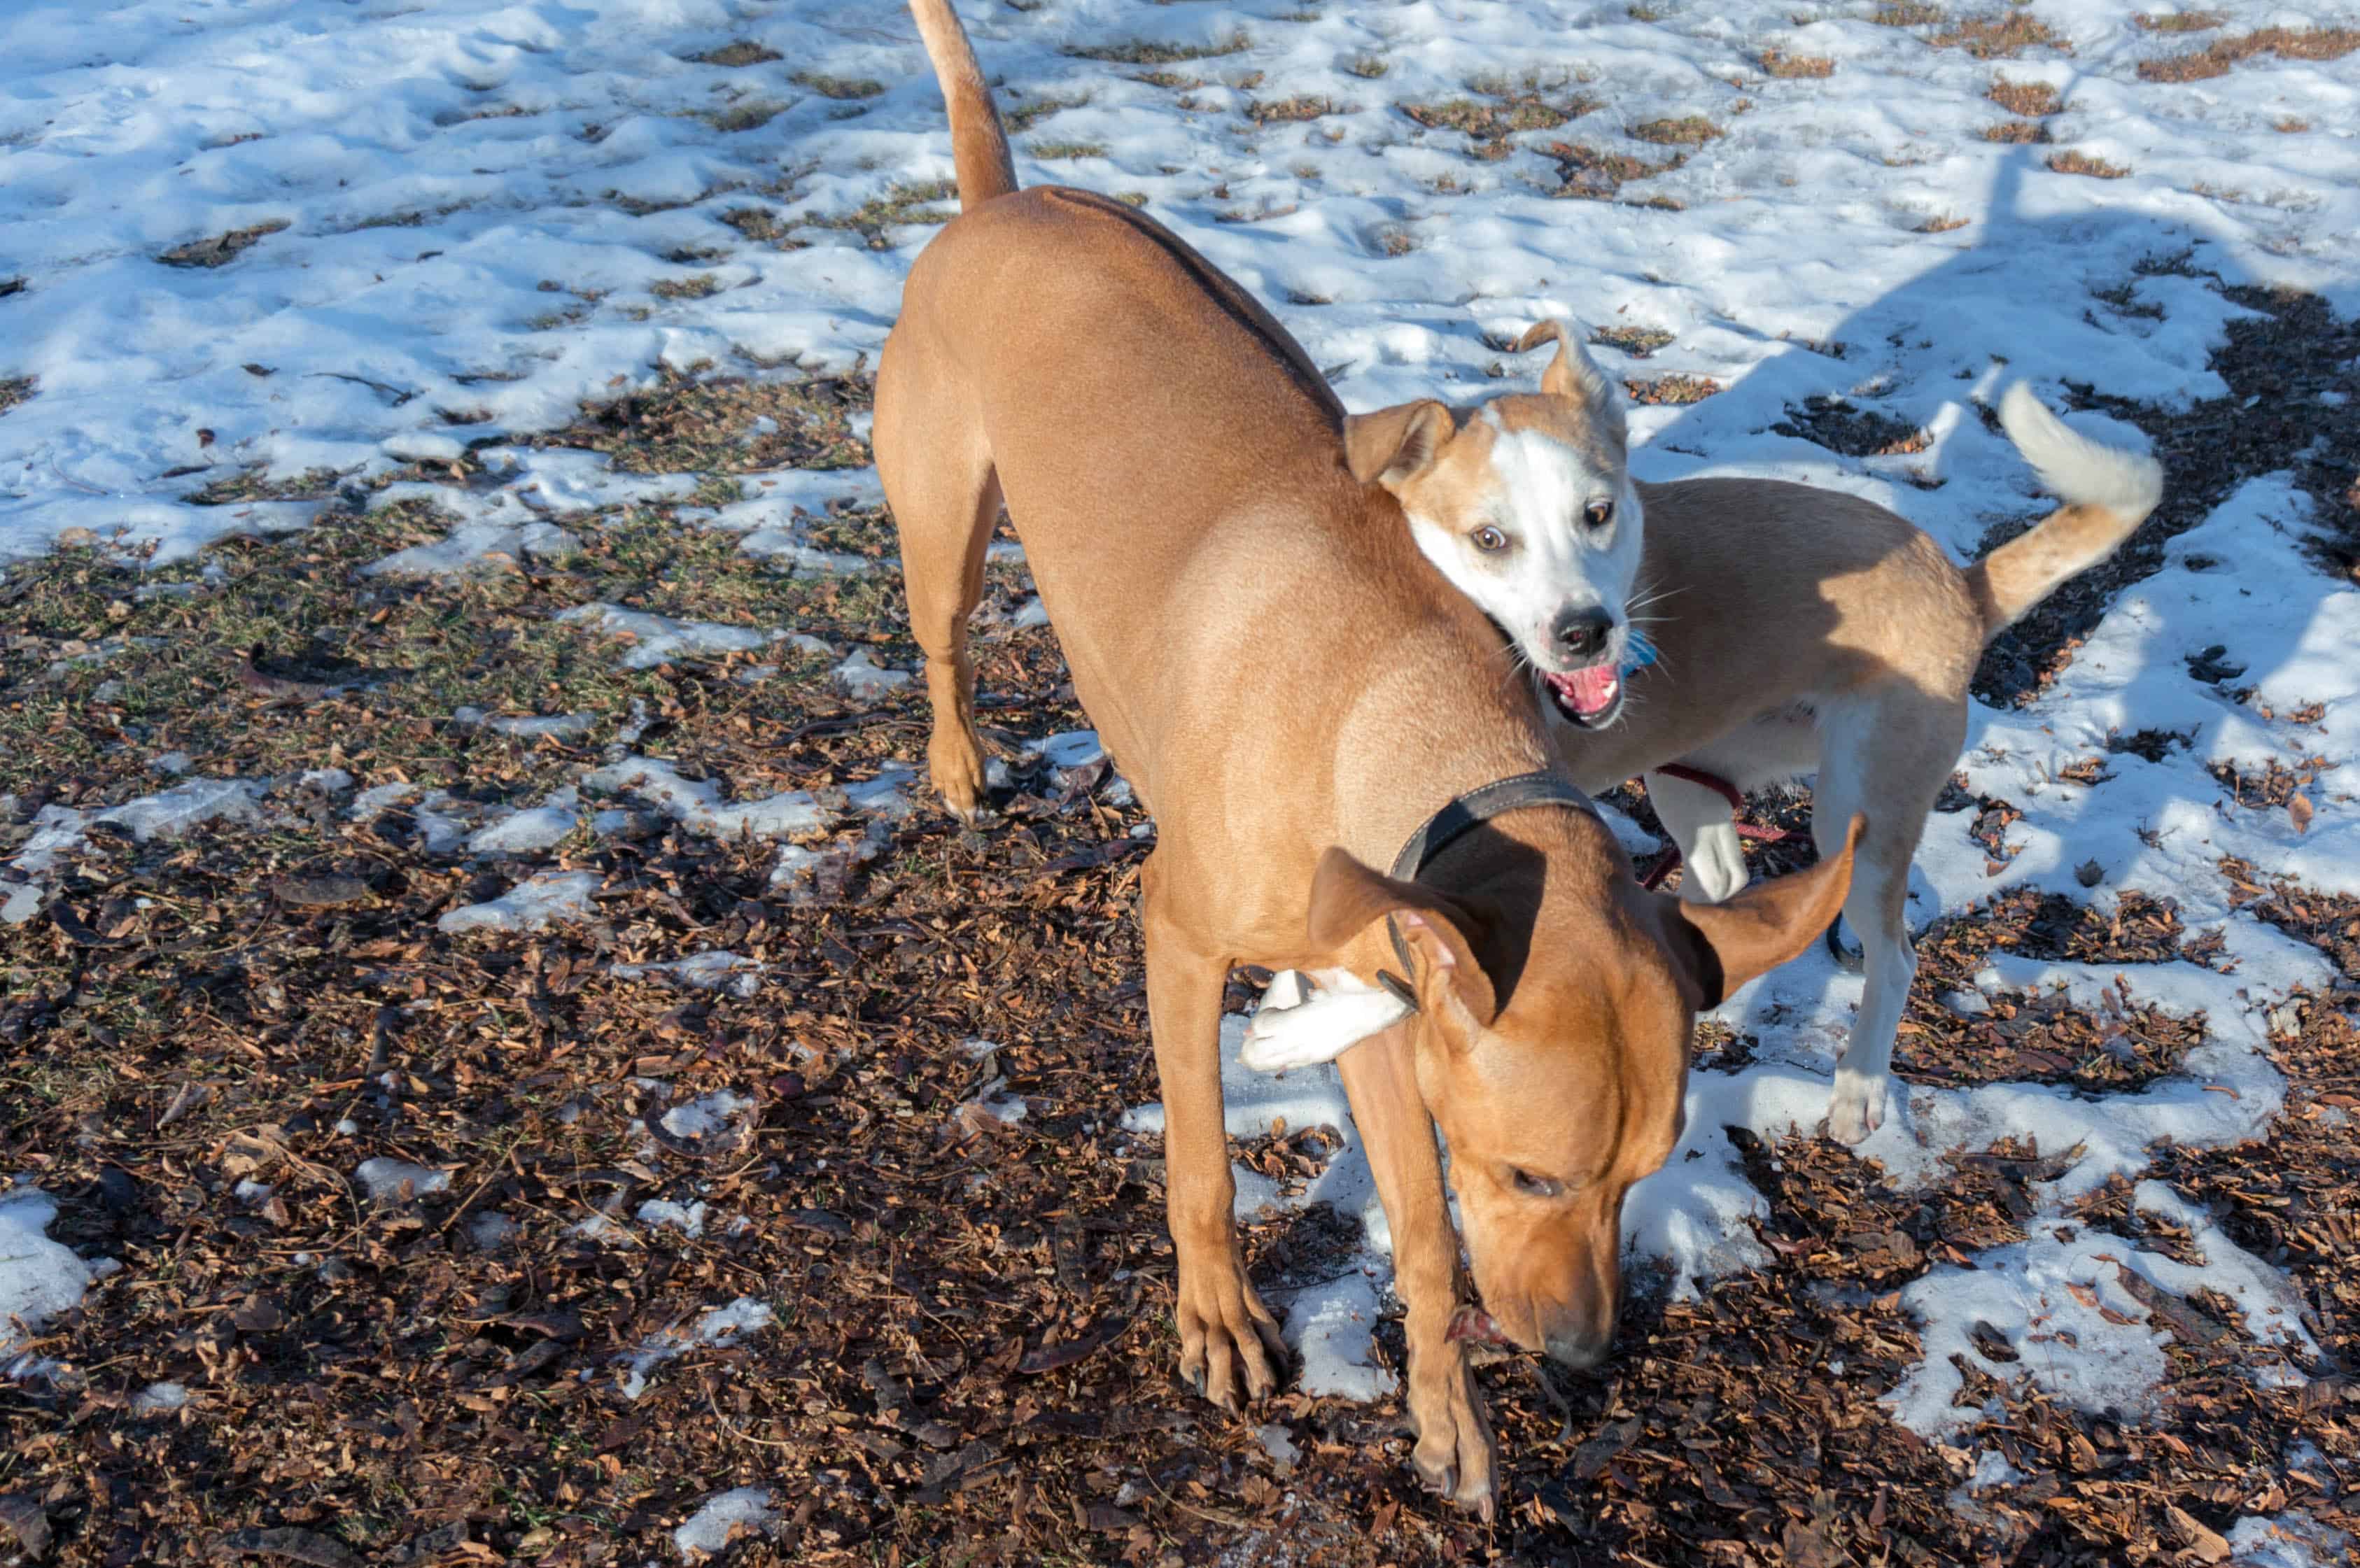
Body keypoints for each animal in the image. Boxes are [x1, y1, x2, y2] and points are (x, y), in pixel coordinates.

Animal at [878, 3, 1850, 1518]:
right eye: (1529, 1172)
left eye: (1647, 1171)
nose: (1583, 1354)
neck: (1397, 707)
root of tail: (1005, 201)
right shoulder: (1176, 936)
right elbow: (1203, 1160)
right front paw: (1220, 1318)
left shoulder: (1403, 1001)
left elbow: (1425, 1234)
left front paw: (1452, 1421)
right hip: (943, 534)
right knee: (940, 640)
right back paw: (959, 760)